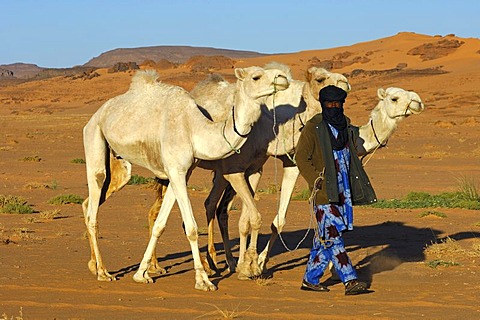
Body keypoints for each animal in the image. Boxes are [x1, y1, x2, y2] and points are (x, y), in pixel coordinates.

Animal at [81, 66, 288, 292]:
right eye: (256, 77)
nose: (283, 78)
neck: (194, 128)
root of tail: (95, 116)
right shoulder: (177, 171)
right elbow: (191, 228)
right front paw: (203, 280)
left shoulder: (180, 172)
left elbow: (160, 224)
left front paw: (141, 274)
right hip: (94, 139)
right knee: (94, 205)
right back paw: (103, 272)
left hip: (120, 166)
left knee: (89, 202)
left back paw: (94, 265)